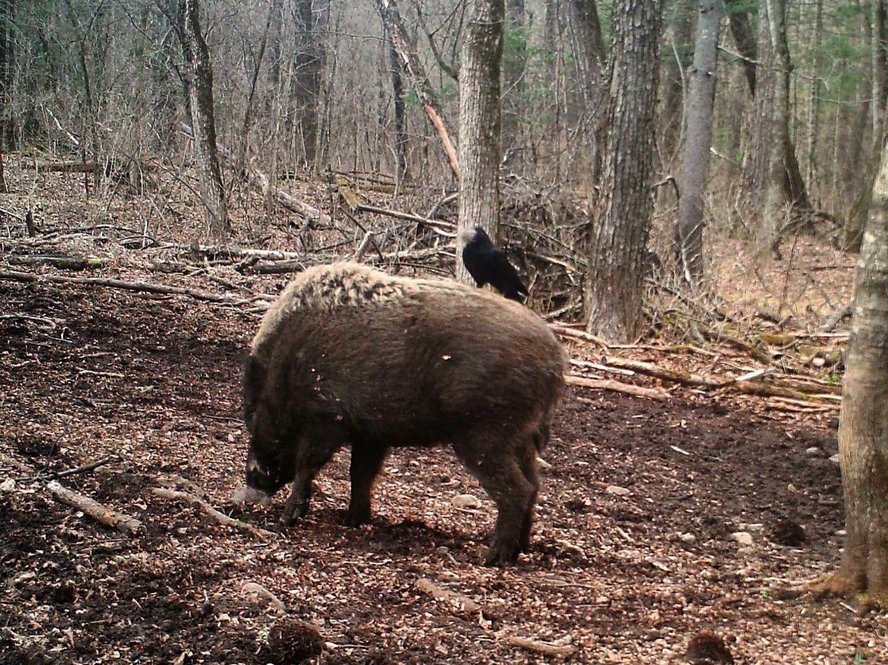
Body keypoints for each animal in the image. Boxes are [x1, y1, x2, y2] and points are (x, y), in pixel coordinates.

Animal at [238, 262, 567, 565]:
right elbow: (360, 473)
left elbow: (308, 464)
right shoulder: (370, 435)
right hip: (521, 438)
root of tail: (555, 361)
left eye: (253, 414)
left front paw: (288, 518)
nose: (251, 480)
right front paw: (353, 520)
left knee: (518, 490)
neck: (288, 360)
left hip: (486, 435)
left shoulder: (327, 417)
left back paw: (492, 558)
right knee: (534, 486)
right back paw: (520, 550)